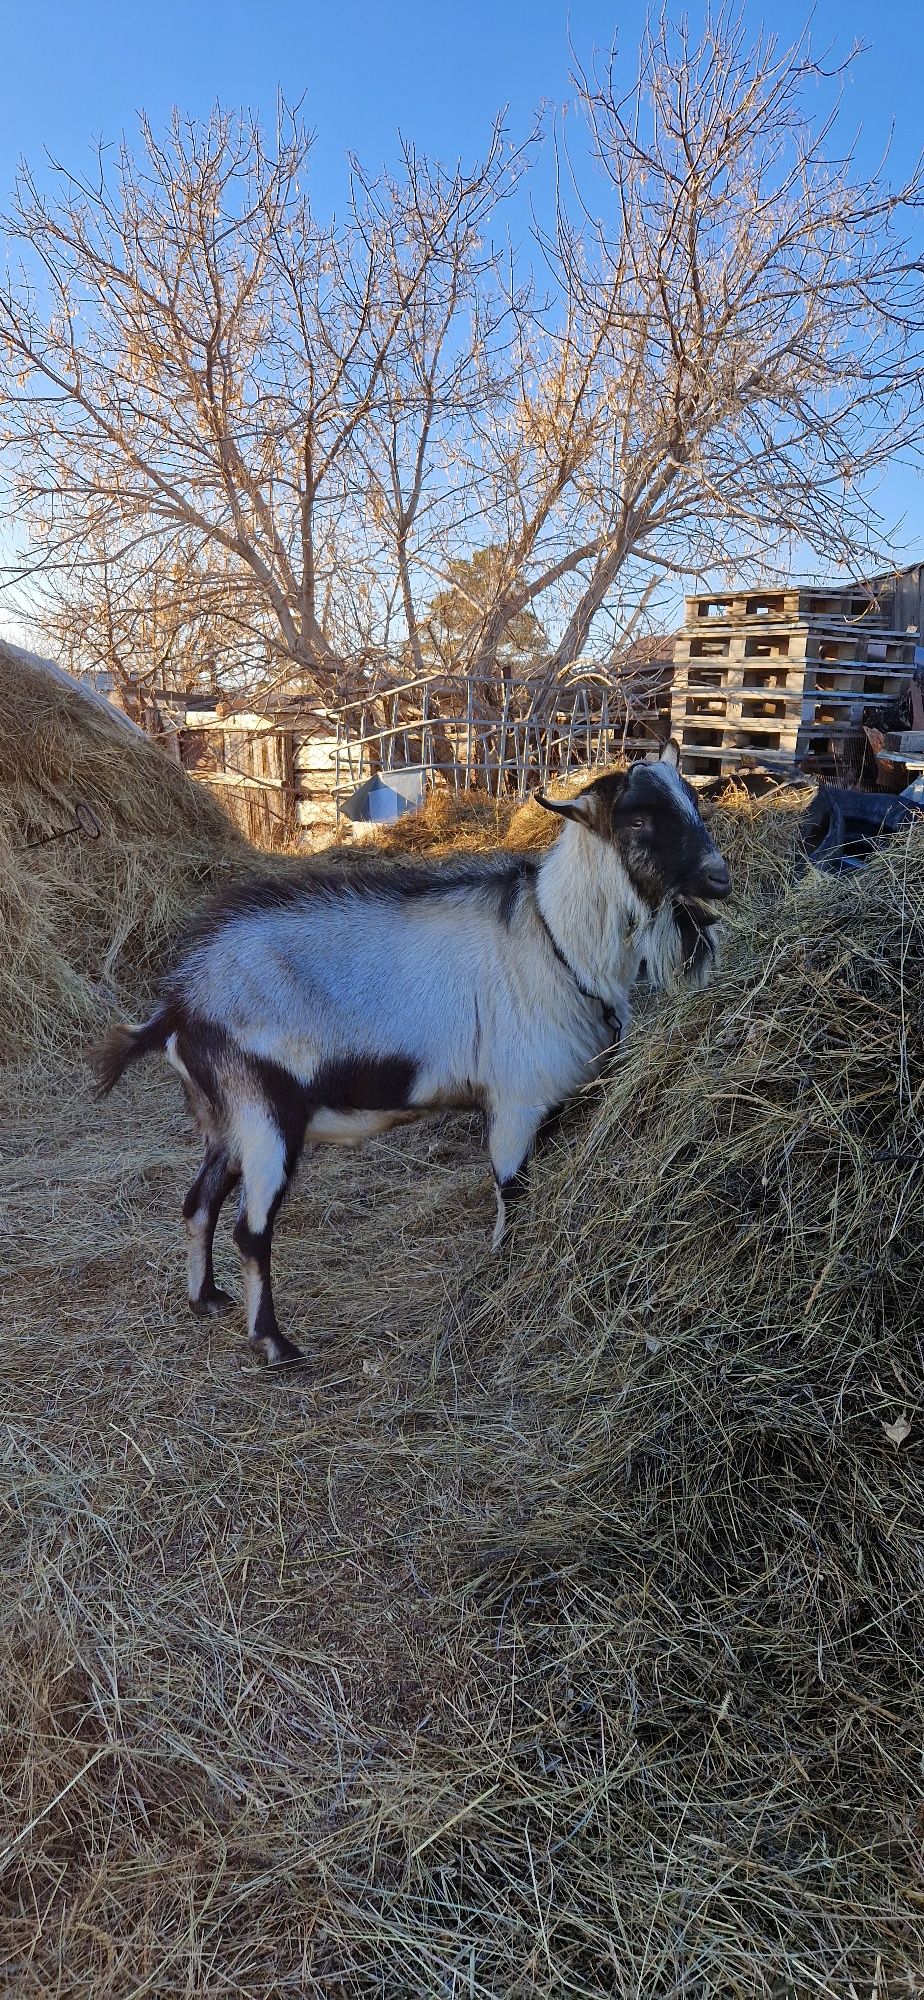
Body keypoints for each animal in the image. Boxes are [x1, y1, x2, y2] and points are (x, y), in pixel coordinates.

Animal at [94, 744, 728, 1368]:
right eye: (638, 820)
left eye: (692, 802)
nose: (719, 878)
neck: (557, 942)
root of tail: (179, 1005)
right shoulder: (515, 1103)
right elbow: (512, 1193)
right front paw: (501, 1274)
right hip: (263, 1114)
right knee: (250, 1232)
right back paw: (274, 1343)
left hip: (226, 1122)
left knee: (198, 1202)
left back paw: (205, 1297)